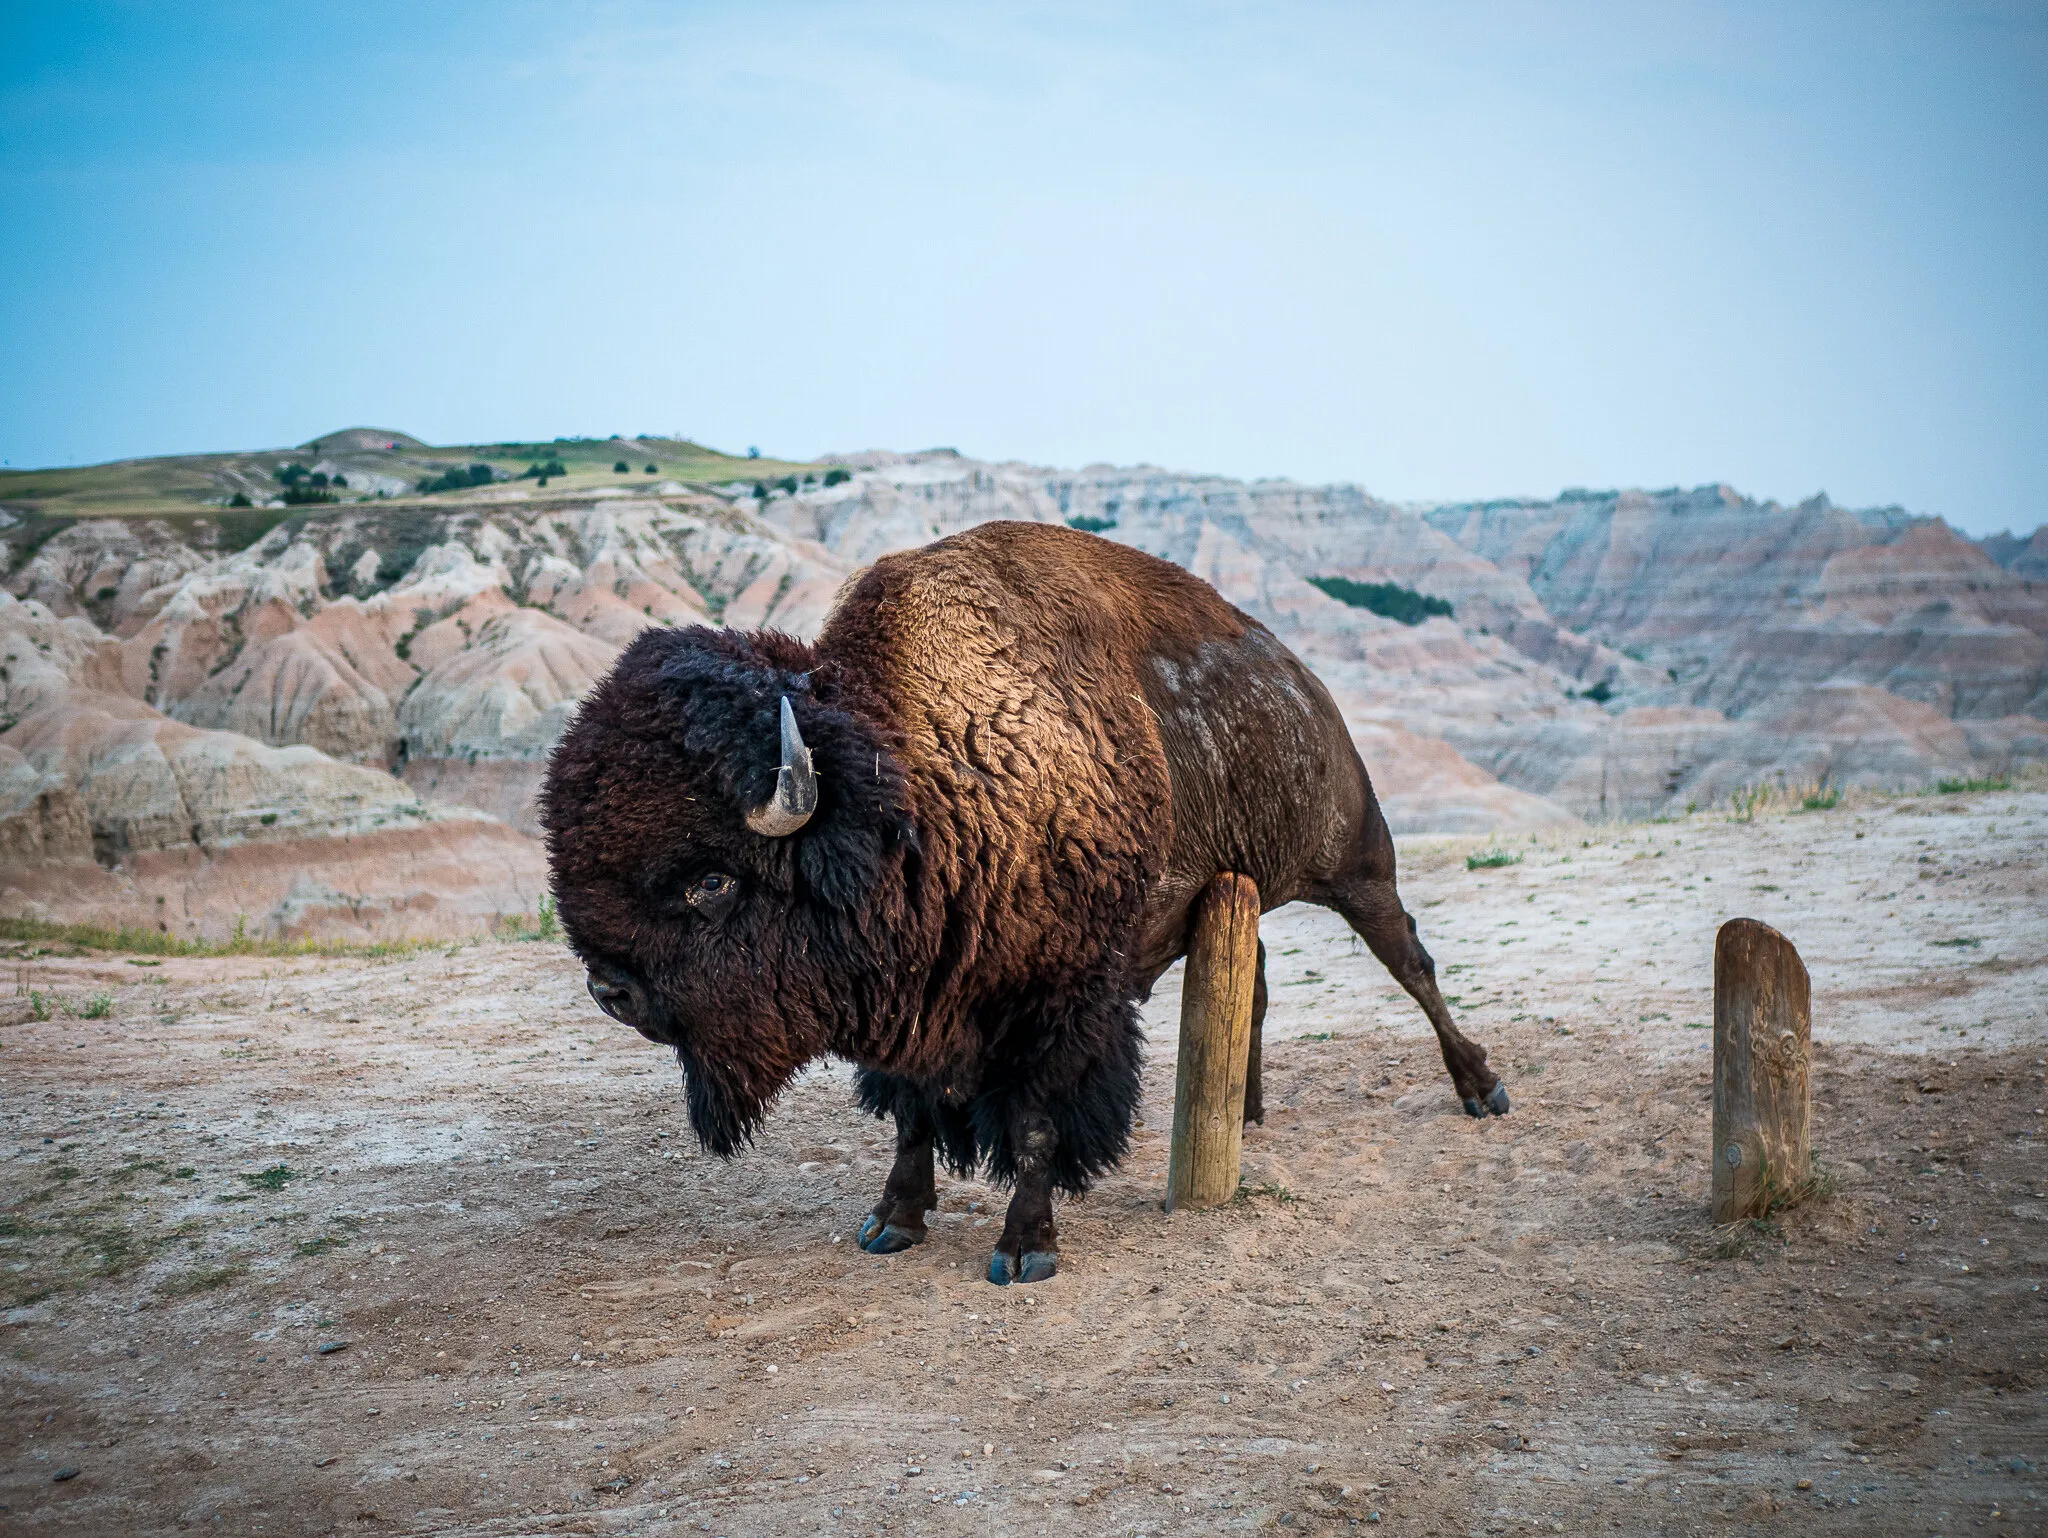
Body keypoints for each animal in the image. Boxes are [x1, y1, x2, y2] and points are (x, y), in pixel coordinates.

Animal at [540, 521, 1506, 1285]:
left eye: (710, 881)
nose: (611, 991)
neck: (916, 798)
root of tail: (1304, 684)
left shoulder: (1062, 1002)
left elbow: (1039, 1122)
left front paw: (1024, 1250)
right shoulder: (916, 1005)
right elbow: (912, 1117)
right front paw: (891, 1223)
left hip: (1359, 864)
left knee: (1411, 960)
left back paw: (1481, 1089)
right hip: (1230, 899)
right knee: (1262, 981)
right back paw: (1248, 1110)